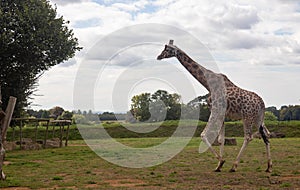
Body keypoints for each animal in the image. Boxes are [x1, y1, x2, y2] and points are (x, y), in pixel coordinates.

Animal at [157, 39, 272, 172]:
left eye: (166, 49)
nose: (158, 56)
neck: (208, 83)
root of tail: (262, 103)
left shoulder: (215, 110)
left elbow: (203, 135)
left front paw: (221, 161)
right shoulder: (222, 114)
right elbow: (221, 139)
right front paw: (218, 166)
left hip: (247, 117)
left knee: (248, 137)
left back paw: (234, 166)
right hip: (259, 118)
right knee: (266, 135)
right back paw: (269, 166)